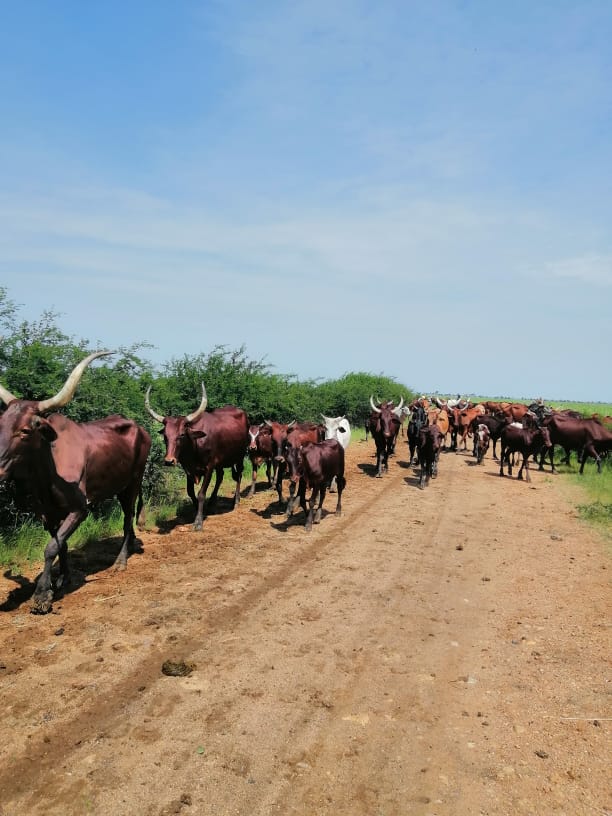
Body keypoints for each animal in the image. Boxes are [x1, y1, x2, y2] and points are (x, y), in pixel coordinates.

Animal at [145, 386, 247, 532]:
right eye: (165, 435)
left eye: (182, 434)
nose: (169, 461)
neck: (195, 446)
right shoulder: (188, 469)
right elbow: (190, 492)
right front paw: (197, 510)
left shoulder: (209, 467)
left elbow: (201, 494)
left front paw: (198, 521)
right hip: (221, 462)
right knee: (220, 477)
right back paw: (212, 503)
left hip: (240, 456)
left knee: (238, 475)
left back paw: (236, 500)